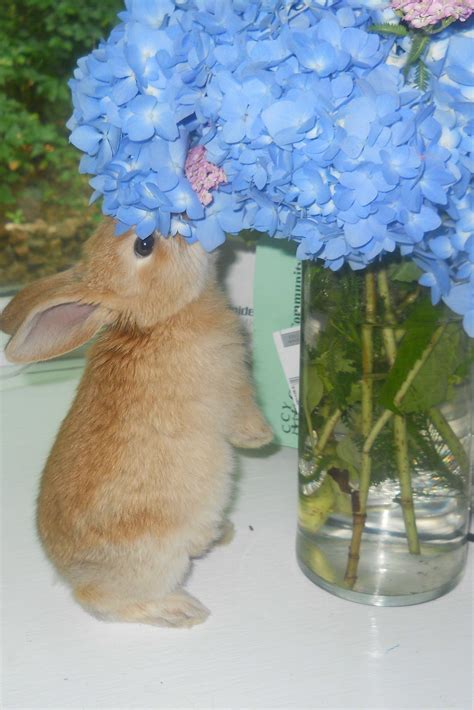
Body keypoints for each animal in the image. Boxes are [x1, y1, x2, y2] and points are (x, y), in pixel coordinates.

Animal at [1, 221, 272, 628]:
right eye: (144, 244)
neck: (160, 317)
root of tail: (70, 573)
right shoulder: (232, 382)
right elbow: (244, 414)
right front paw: (262, 438)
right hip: (157, 561)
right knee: (101, 602)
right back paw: (180, 610)